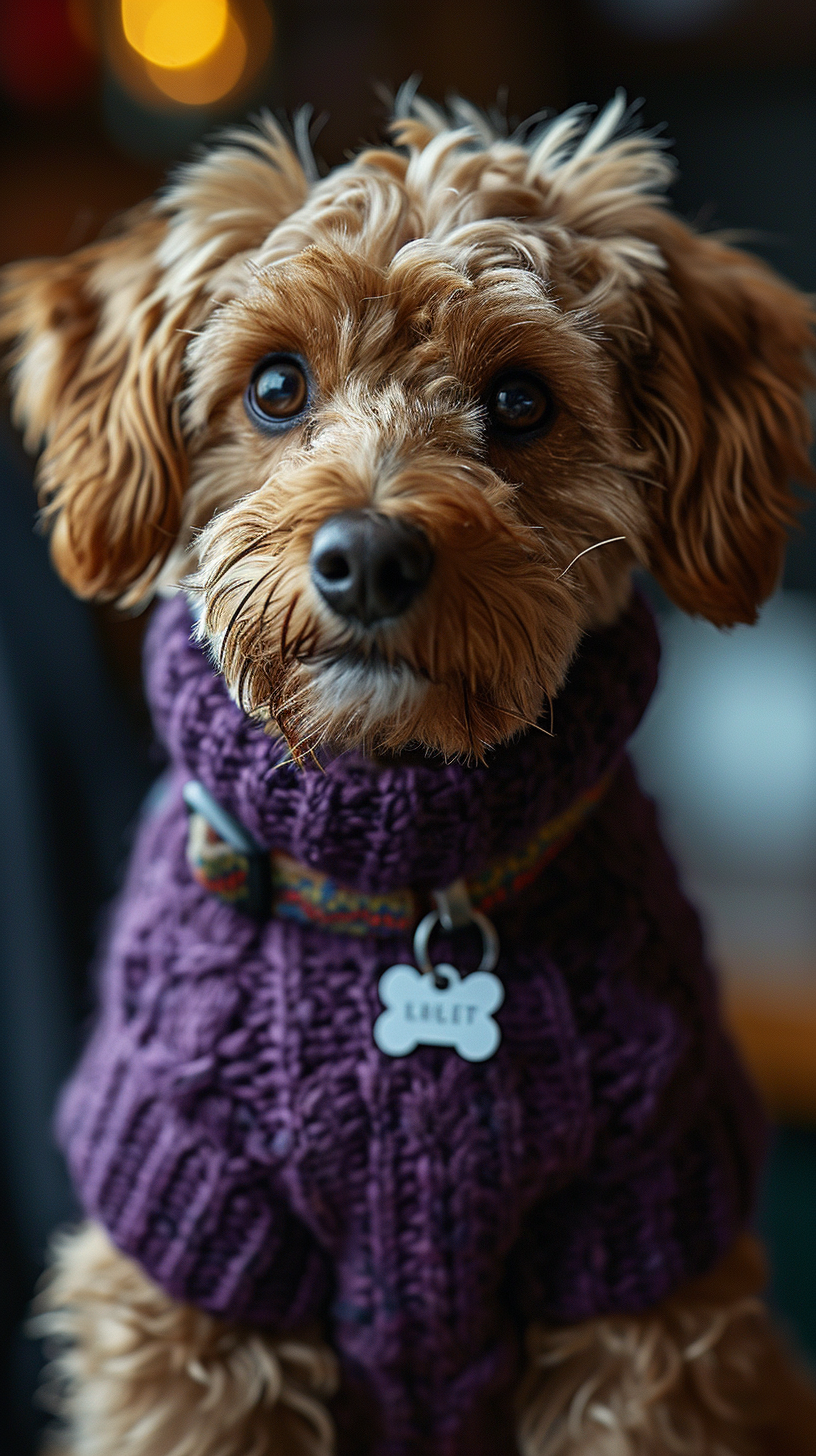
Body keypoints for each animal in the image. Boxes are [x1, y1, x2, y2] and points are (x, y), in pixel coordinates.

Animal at [1, 93, 816, 1456]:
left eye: (522, 399)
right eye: (277, 386)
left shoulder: (642, 1252)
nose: (369, 555)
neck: (405, 886)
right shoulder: (196, 1259)